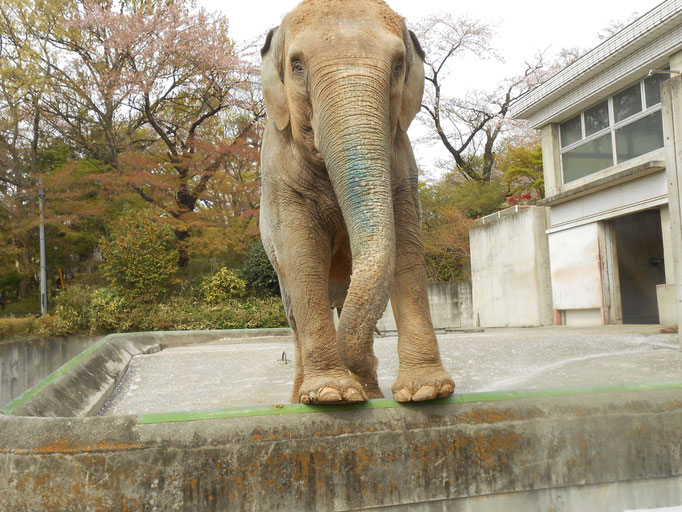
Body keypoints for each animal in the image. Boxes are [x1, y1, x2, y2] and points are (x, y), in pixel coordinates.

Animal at [258, 0, 454, 404]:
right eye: (297, 65)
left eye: (398, 65)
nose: (365, 376)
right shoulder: (280, 178)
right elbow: (302, 257)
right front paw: (331, 395)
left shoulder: (403, 166)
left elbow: (408, 252)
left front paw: (427, 390)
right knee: (293, 313)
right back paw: (303, 397)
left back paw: (370, 393)